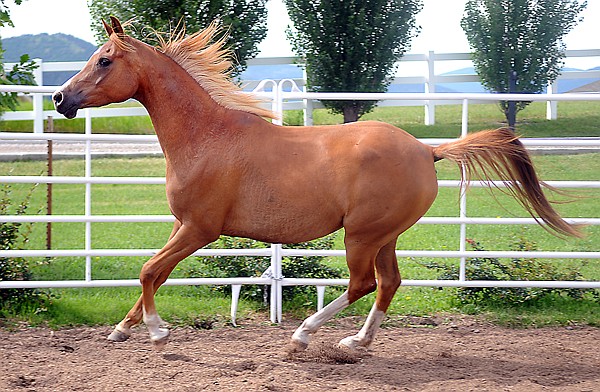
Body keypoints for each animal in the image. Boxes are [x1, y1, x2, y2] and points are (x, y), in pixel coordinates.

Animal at [52, 16, 580, 350]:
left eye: (104, 60)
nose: (59, 98)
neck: (206, 137)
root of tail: (426, 151)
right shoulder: (182, 225)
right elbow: (154, 273)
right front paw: (122, 330)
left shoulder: (200, 229)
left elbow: (148, 271)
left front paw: (158, 333)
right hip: (384, 235)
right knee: (389, 283)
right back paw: (355, 342)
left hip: (362, 235)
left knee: (363, 283)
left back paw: (303, 335)